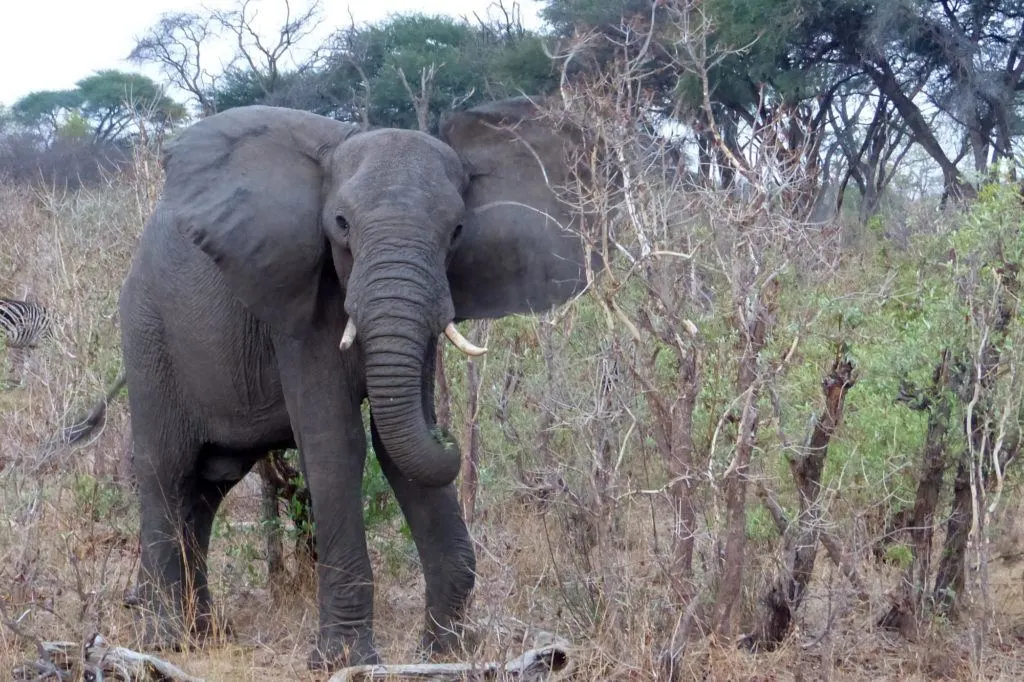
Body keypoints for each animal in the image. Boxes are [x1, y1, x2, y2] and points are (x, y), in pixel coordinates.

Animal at [111, 95, 597, 670]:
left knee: (207, 486)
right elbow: (336, 444)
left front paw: (441, 653)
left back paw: (202, 632)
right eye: (341, 224)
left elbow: (396, 445)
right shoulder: (299, 306)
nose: (453, 439)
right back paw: (168, 642)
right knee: (165, 470)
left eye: (457, 230)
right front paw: (343, 661)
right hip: (148, 333)